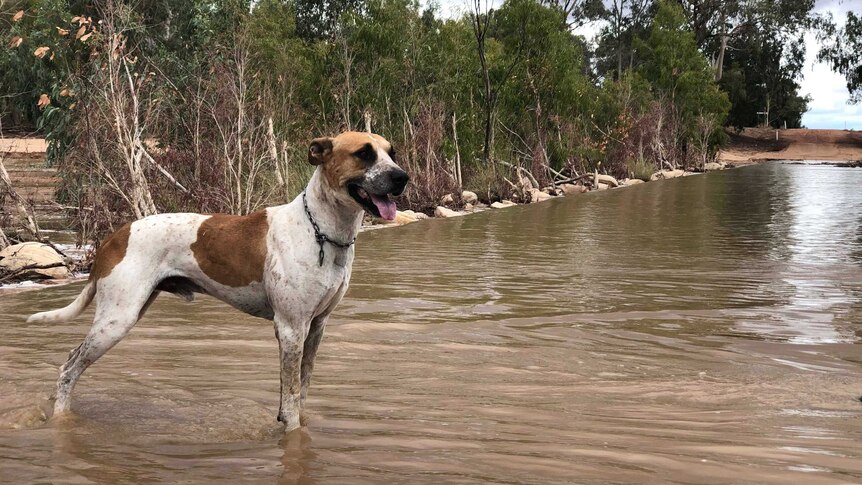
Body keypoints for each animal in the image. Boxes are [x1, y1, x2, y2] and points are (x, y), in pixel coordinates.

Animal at [27, 130, 412, 430]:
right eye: (363, 154)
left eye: (391, 153)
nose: (402, 177)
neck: (318, 229)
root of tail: (114, 235)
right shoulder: (290, 328)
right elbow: (290, 402)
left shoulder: (316, 326)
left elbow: (299, 391)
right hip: (115, 320)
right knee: (69, 367)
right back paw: (61, 418)